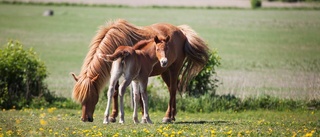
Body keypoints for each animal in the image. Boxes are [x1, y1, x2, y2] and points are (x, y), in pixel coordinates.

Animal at [71, 19, 209, 122]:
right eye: (81, 98)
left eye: (92, 96)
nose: (85, 118)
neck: (116, 41)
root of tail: (181, 31)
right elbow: (115, 92)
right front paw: (113, 116)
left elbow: (135, 94)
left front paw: (141, 116)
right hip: (165, 71)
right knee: (171, 89)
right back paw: (172, 115)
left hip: (174, 68)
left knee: (173, 90)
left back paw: (167, 117)